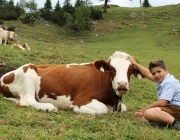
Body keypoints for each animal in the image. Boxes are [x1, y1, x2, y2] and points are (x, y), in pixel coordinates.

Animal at [0, 50, 143, 114]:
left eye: (130, 70)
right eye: (112, 69)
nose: (122, 84)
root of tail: (4, 76)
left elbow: (123, 107)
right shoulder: (81, 98)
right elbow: (102, 109)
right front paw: (76, 109)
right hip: (28, 74)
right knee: (28, 101)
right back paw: (50, 108)